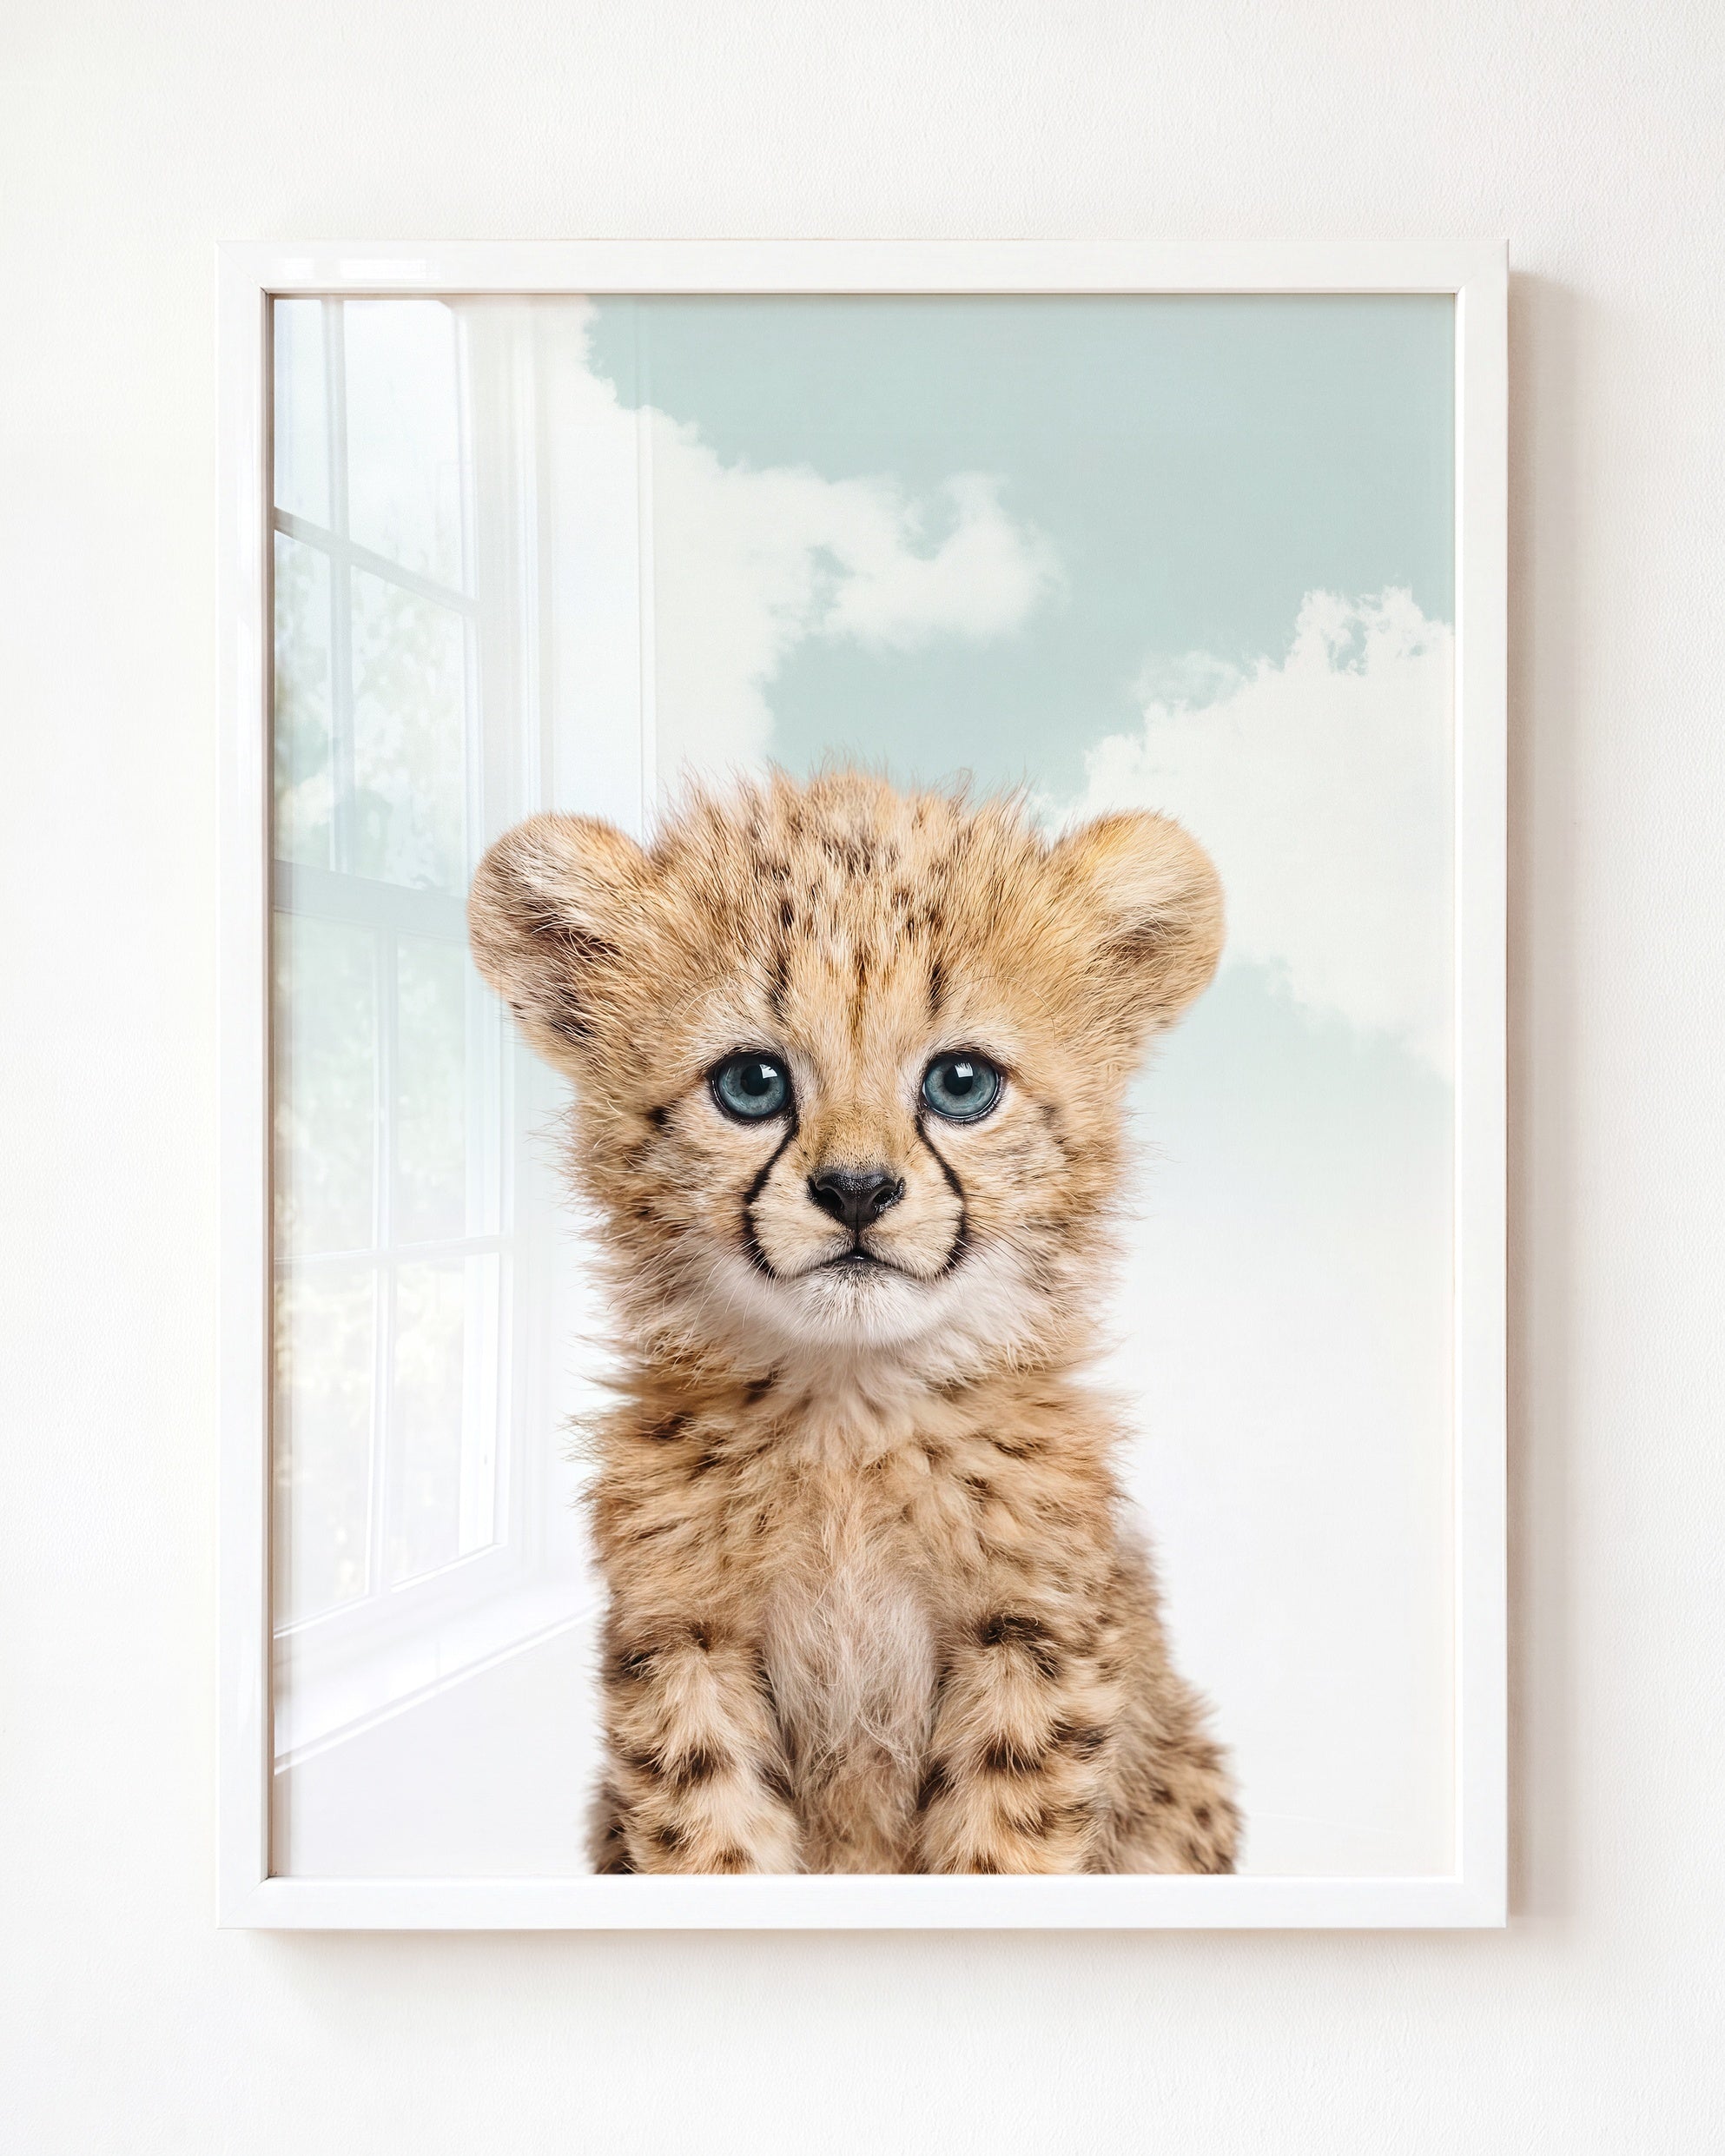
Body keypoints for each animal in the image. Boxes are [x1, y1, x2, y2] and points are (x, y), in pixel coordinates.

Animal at [468, 767, 1240, 1874]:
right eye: (752, 1083)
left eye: (961, 1083)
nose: (858, 1190)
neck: (850, 1408)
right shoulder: (686, 1637)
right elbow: (711, 1837)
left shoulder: (1034, 1637)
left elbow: (1000, 1845)